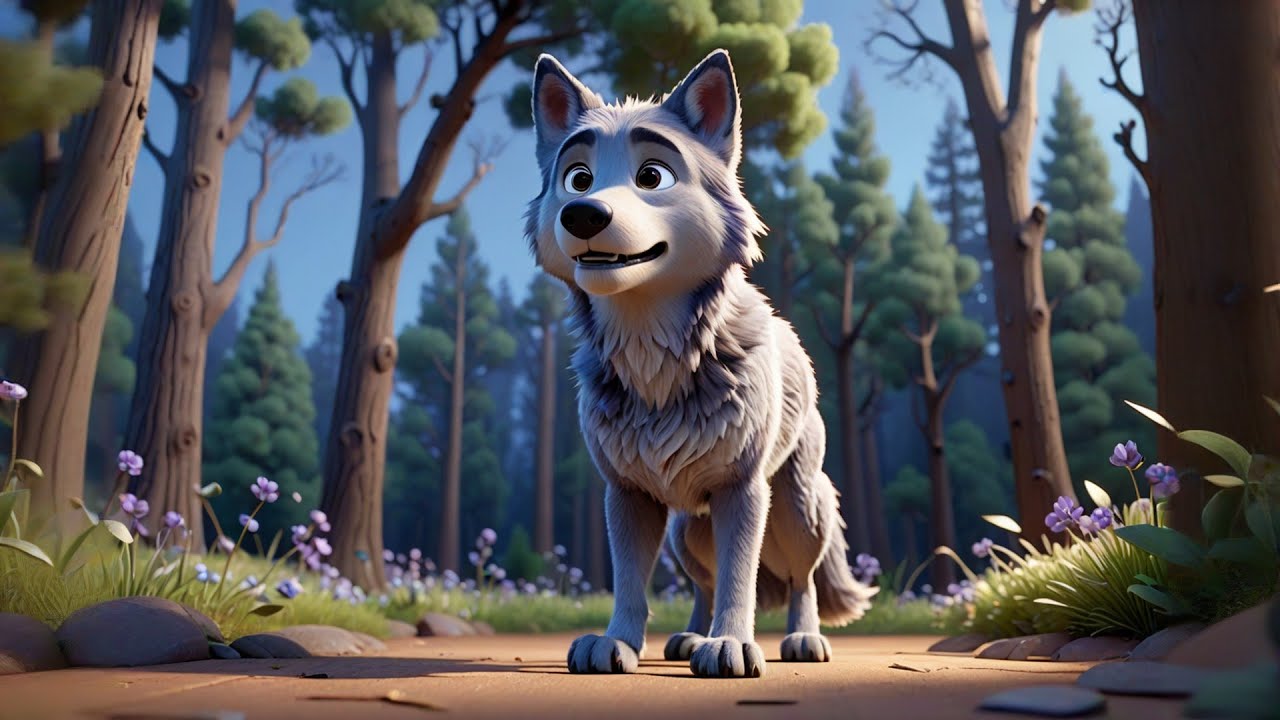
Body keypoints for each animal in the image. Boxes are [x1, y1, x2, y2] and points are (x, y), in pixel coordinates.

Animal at [525, 49, 878, 679]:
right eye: (577, 178)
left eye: (652, 177)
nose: (583, 214)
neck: (653, 354)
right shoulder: (627, 495)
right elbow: (631, 583)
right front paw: (616, 642)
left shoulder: (743, 491)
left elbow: (743, 577)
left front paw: (733, 644)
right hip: (687, 532)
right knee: (703, 582)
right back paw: (690, 636)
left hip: (797, 510)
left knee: (801, 578)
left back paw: (802, 638)